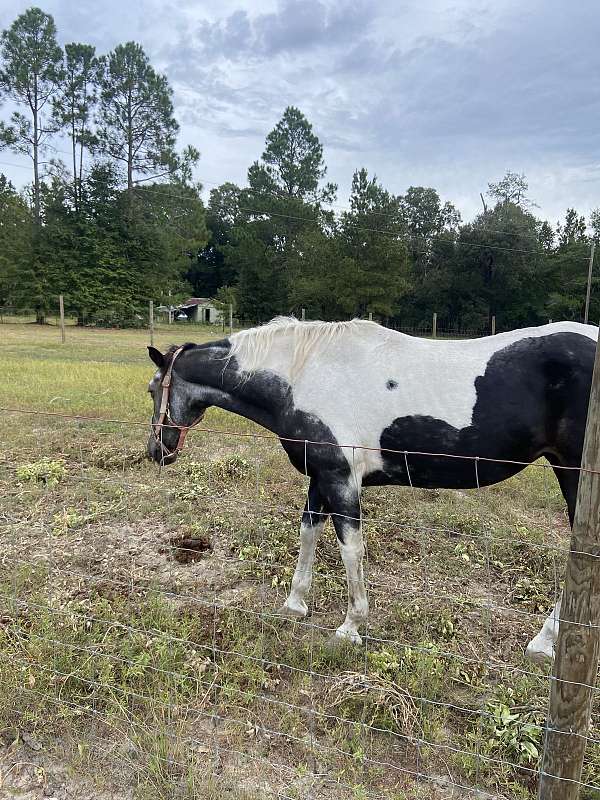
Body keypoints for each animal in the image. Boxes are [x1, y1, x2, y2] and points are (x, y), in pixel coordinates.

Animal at [146, 316, 600, 660]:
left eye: (152, 389)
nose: (157, 451)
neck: (303, 375)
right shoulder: (321, 477)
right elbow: (307, 532)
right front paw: (295, 605)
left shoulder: (341, 480)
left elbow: (351, 550)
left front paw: (350, 627)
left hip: (575, 476)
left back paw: (542, 643)